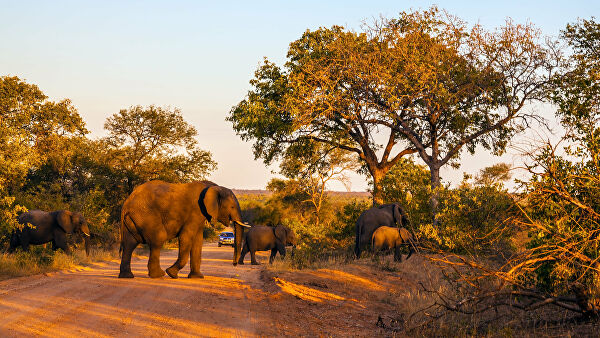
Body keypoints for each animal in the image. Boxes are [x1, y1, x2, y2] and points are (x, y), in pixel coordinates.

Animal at [118, 181, 250, 278]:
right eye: (232, 207)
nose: (234, 264)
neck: (214, 187)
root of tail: (127, 203)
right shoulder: (195, 211)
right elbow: (186, 238)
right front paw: (171, 273)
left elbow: (198, 241)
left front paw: (197, 277)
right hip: (146, 214)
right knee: (158, 238)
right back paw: (158, 275)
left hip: (134, 218)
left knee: (129, 243)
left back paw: (127, 276)